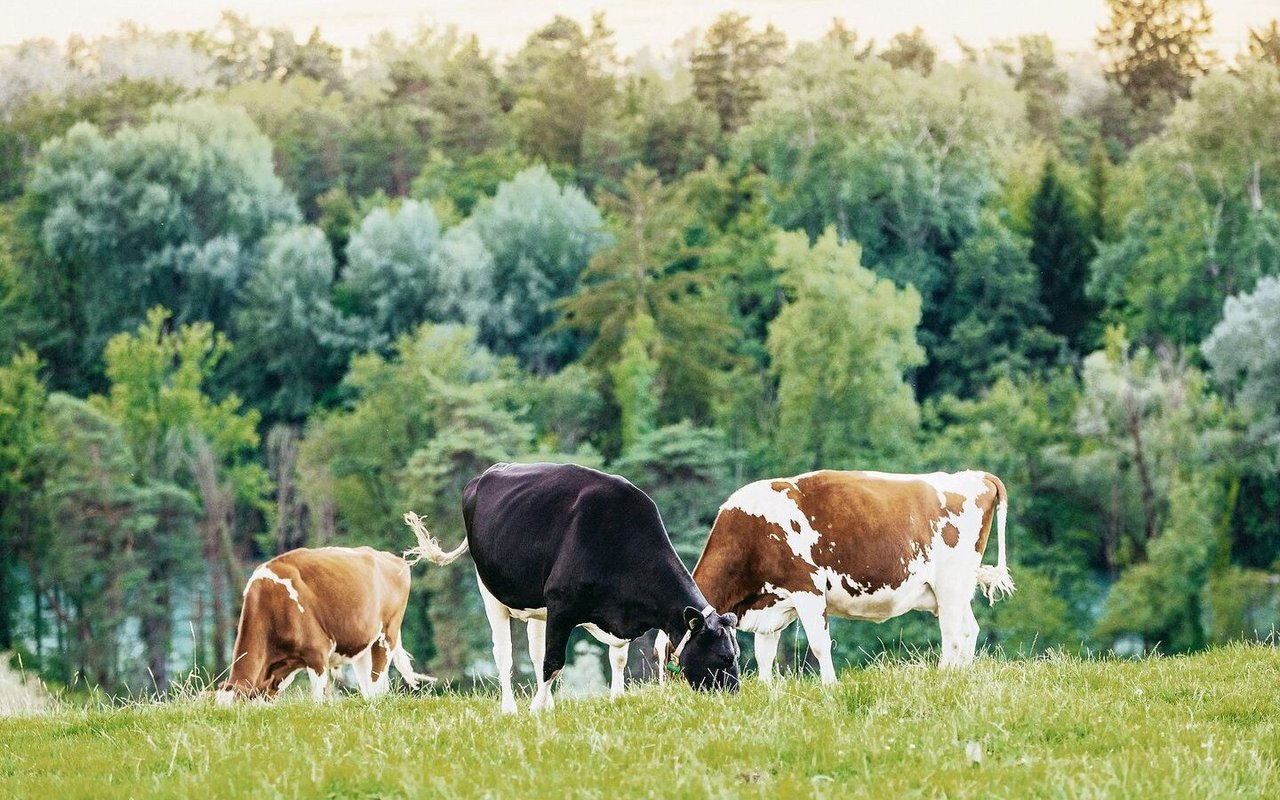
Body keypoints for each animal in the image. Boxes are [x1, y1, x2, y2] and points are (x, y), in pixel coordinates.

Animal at [209, 542, 430, 706]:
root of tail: (391, 558)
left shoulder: (317, 653)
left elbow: (320, 701)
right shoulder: (277, 672)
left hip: (386, 635)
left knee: (377, 682)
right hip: (363, 645)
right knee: (371, 685)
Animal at [399, 458, 742, 716]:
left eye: (737, 654)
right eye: (724, 657)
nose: (735, 696)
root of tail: (487, 473)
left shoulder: (617, 613)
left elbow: (615, 658)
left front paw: (616, 699)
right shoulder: (562, 605)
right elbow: (554, 662)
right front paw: (535, 710)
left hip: (538, 608)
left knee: (534, 652)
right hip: (490, 592)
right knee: (505, 654)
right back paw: (510, 709)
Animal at [660, 471, 1008, 680]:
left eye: (668, 657)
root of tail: (976, 475)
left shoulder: (808, 589)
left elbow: (819, 644)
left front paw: (830, 686)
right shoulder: (773, 602)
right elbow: (764, 654)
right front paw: (767, 690)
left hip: (950, 584)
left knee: (952, 636)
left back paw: (943, 678)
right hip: (957, 591)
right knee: (970, 630)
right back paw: (961, 678)